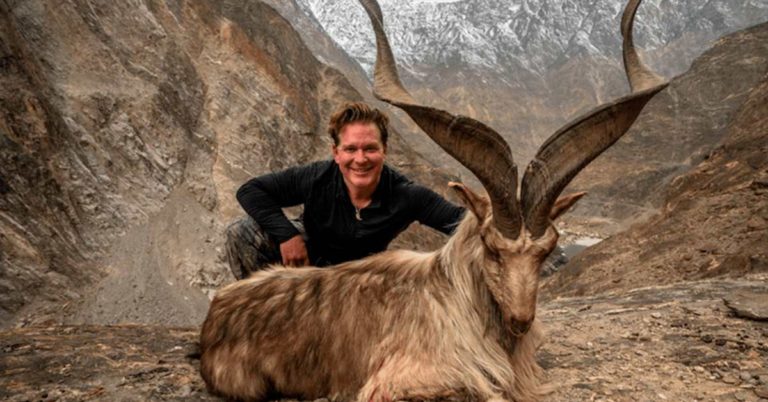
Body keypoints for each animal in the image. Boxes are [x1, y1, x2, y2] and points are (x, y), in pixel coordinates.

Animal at [199, 0, 668, 400]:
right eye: (492, 250)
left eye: (547, 251)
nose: (521, 320)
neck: (459, 299)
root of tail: (215, 313)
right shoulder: (401, 382)